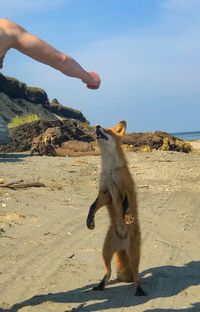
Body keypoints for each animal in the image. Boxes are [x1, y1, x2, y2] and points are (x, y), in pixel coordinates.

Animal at [86, 120, 146, 296]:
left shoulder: (125, 189)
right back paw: (100, 285)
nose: (97, 126)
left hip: (134, 254)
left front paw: (127, 216)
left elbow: (127, 204)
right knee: (109, 271)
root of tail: (122, 245)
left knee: (136, 274)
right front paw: (89, 221)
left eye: (108, 130)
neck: (110, 170)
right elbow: (92, 206)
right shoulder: (105, 194)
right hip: (105, 252)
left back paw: (139, 289)